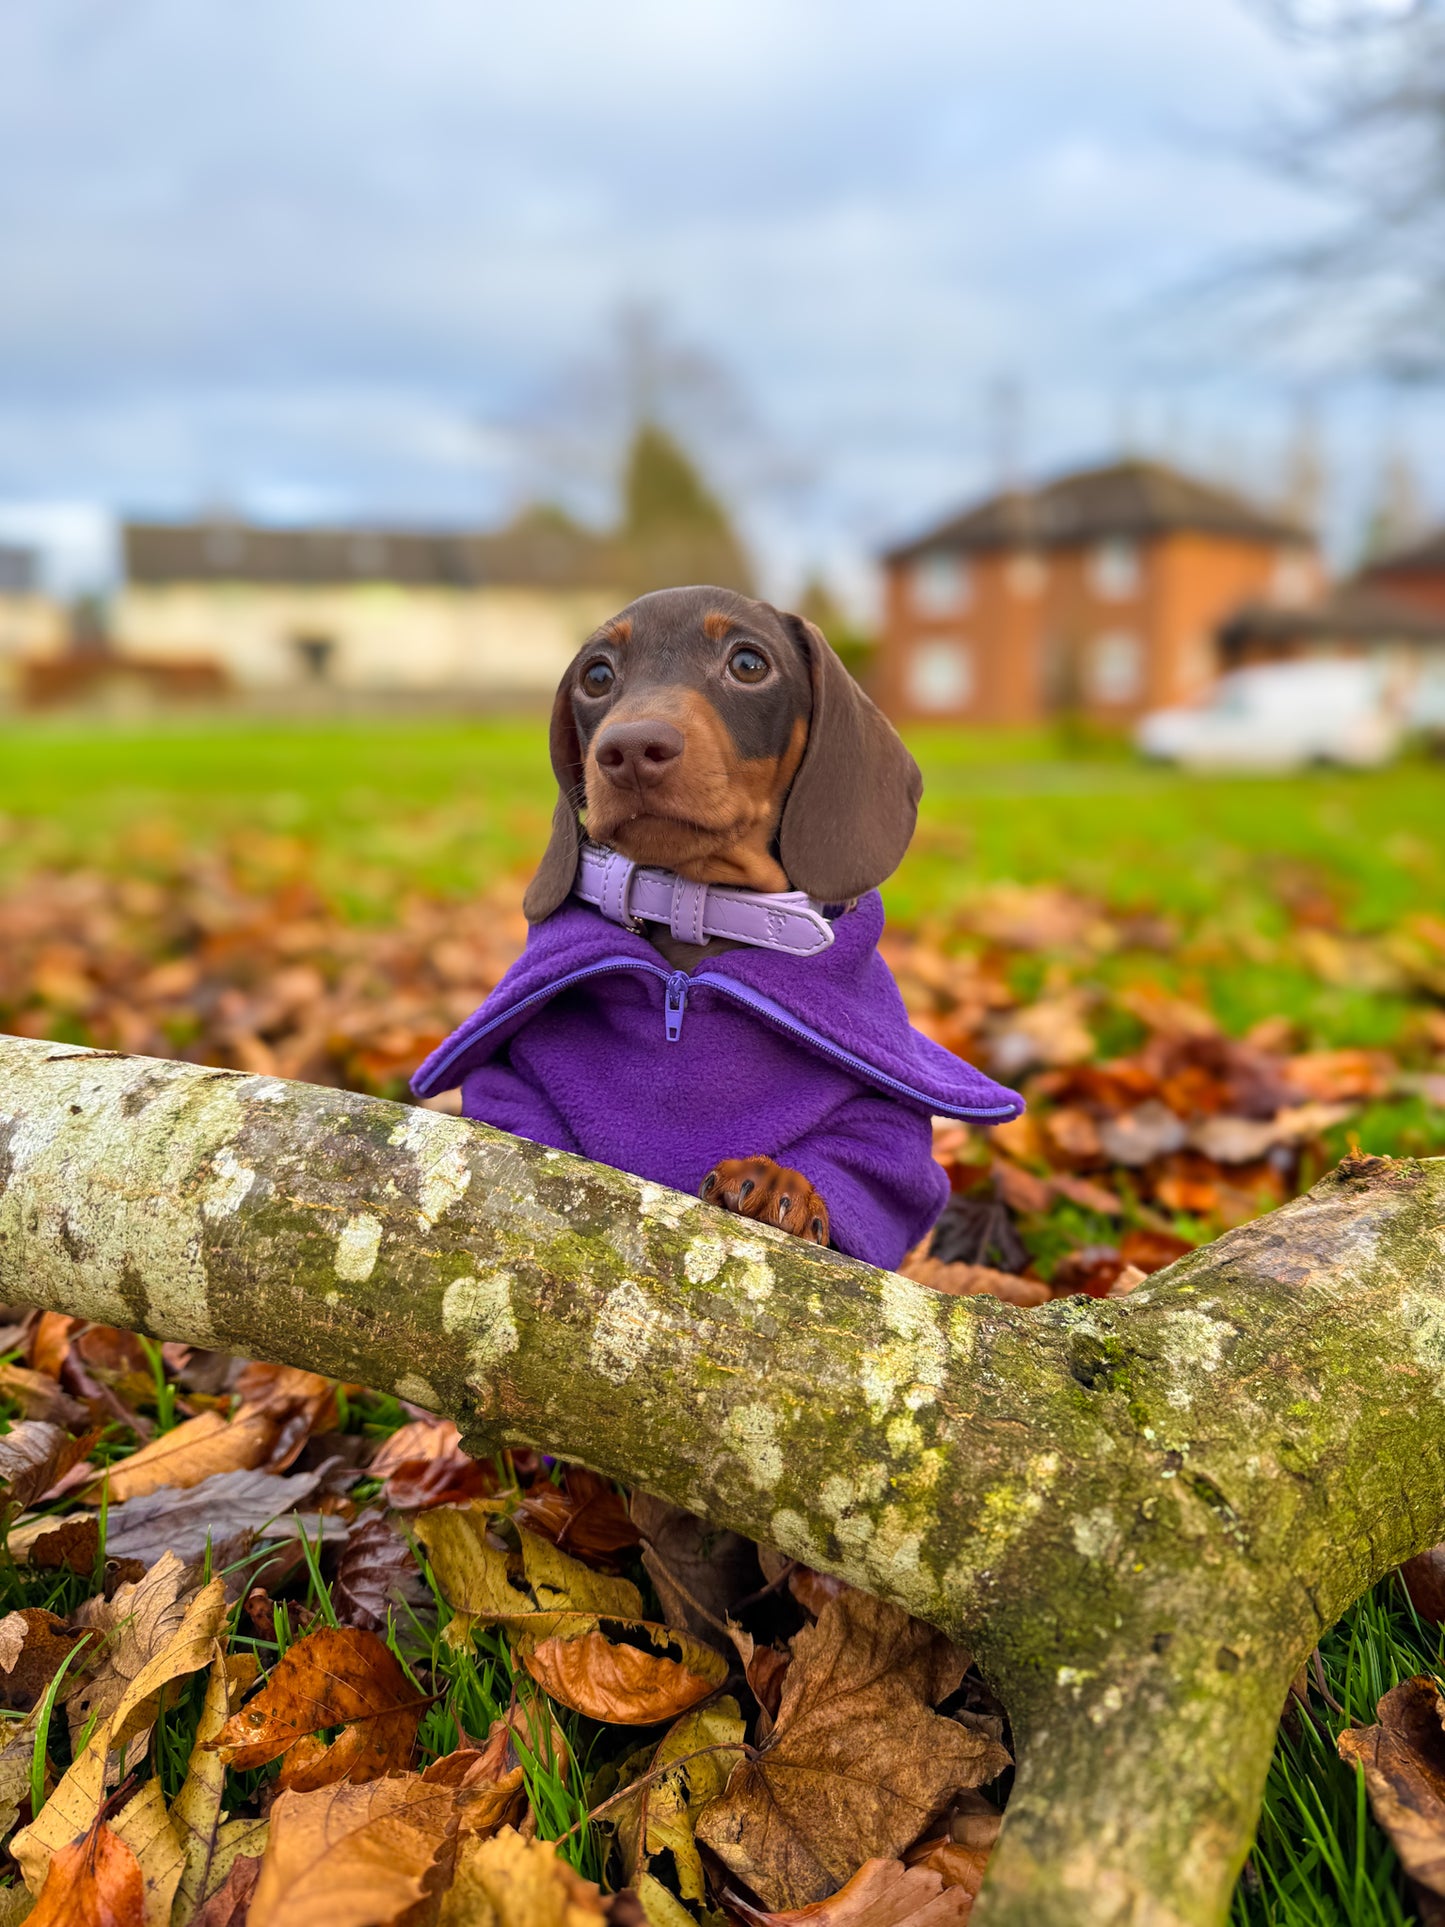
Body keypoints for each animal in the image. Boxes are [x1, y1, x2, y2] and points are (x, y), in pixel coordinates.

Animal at [412, 593, 1032, 1271]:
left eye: (748, 663)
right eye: (596, 675)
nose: (630, 749)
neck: (697, 915)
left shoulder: (882, 1131)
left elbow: (867, 1164)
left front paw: (783, 1185)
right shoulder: (514, 1087)